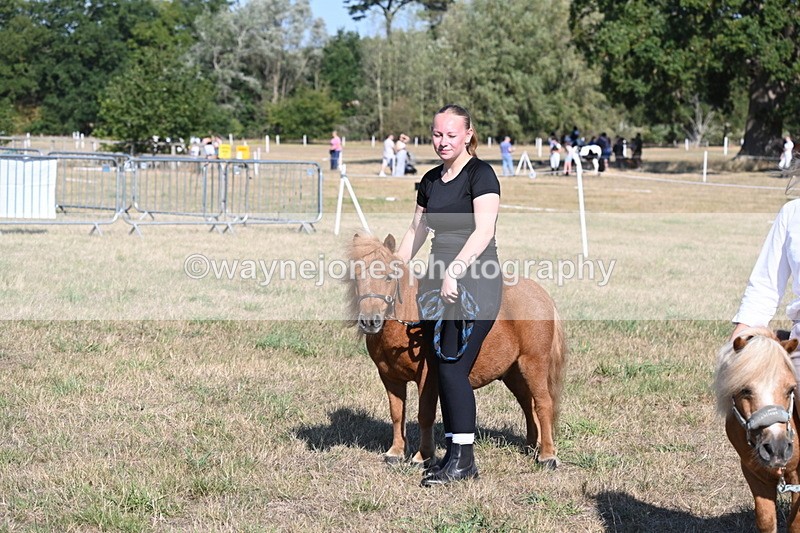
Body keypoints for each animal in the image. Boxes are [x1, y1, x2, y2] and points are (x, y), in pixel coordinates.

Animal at [345, 233, 567, 469]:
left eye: (389, 277)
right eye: (357, 277)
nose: (370, 321)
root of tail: (541, 295)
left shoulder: (427, 377)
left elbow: (425, 414)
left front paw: (423, 456)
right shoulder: (390, 377)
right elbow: (397, 413)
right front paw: (395, 452)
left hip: (533, 364)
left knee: (543, 404)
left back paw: (547, 455)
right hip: (514, 372)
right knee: (527, 404)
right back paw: (532, 446)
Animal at [714, 327, 800, 532]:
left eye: (791, 389)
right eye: (745, 390)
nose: (777, 448)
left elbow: (795, 523)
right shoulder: (755, 474)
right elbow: (766, 520)